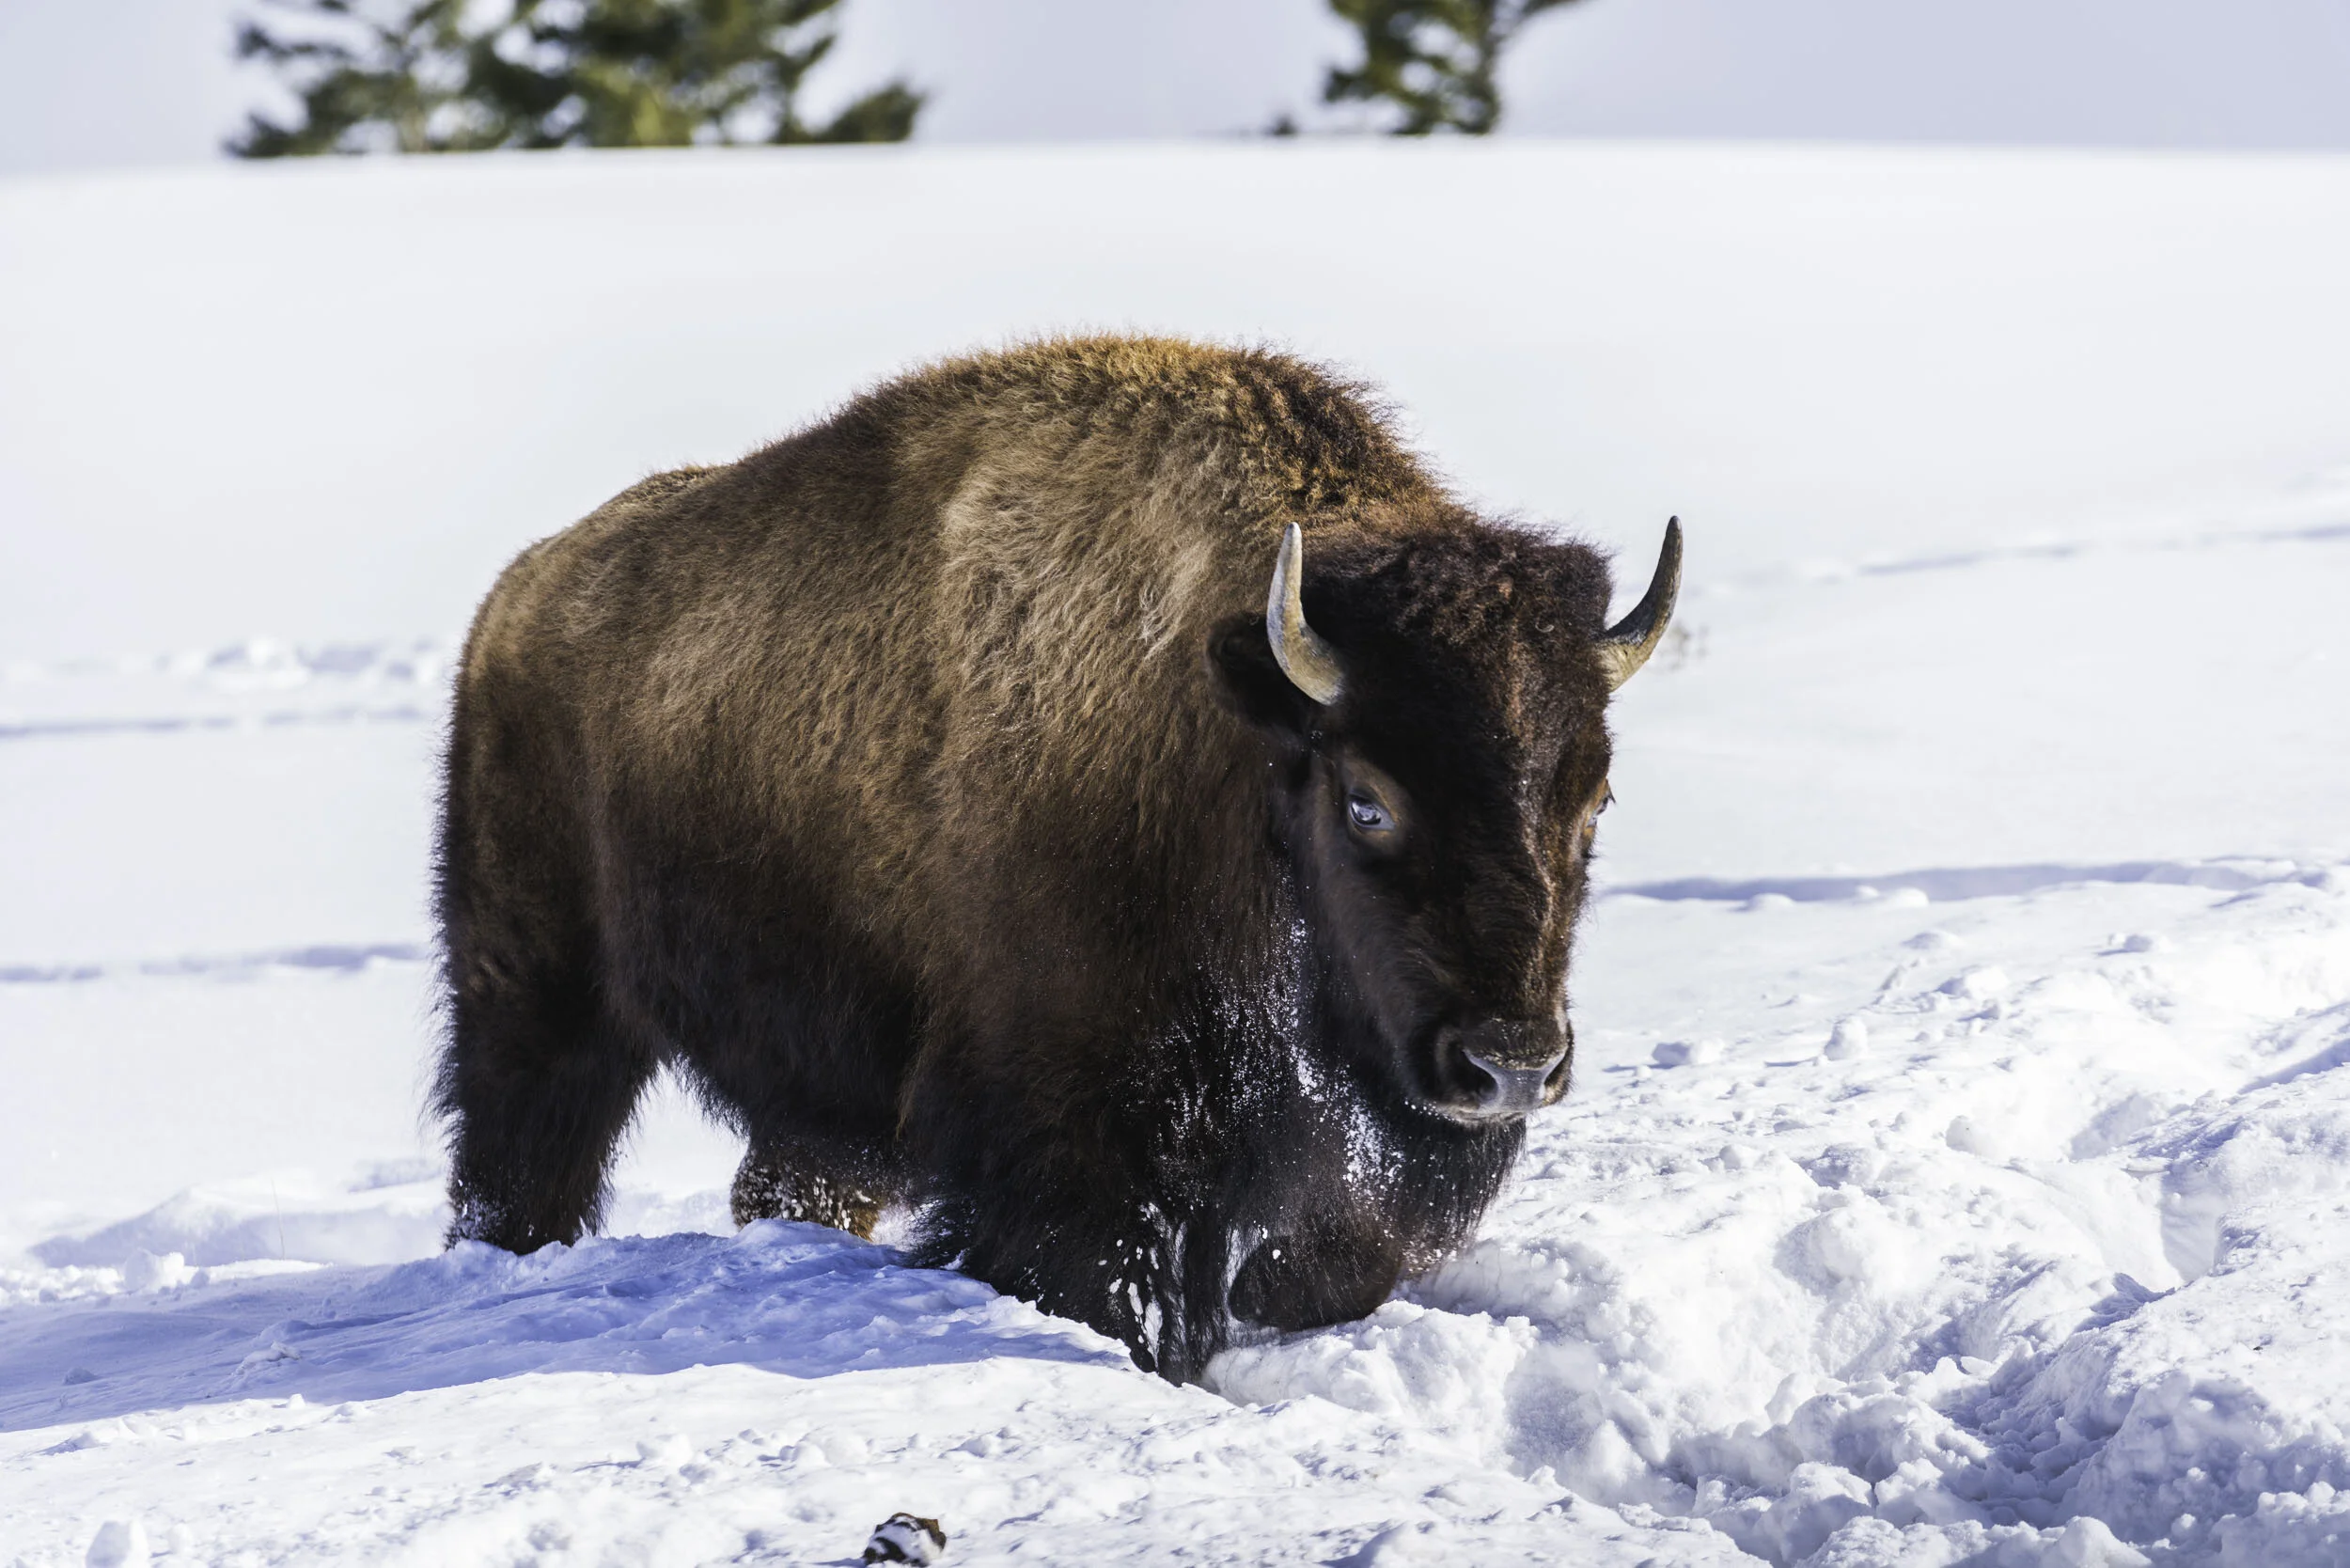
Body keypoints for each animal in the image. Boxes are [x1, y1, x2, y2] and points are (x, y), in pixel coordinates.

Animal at [434, 336, 1679, 1381]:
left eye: (1595, 799)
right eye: (1367, 801)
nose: (1509, 1063)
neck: (1225, 731)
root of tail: (514, 599)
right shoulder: (1079, 1136)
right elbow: (1099, 1281)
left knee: (776, 1183)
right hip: (534, 996)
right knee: (520, 1156)